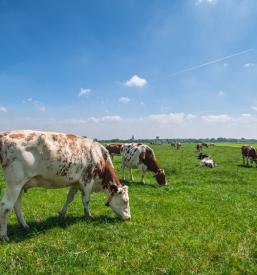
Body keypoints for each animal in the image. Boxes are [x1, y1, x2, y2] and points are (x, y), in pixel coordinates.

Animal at [0, 132, 130, 242]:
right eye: (125, 201)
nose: (129, 218)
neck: (99, 157)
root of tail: (6, 134)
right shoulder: (87, 181)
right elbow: (86, 201)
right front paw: (88, 216)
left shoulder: (75, 183)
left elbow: (69, 198)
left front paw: (62, 213)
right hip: (15, 182)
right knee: (6, 206)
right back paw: (4, 236)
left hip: (20, 185)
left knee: (17, 206)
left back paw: (25, 226)